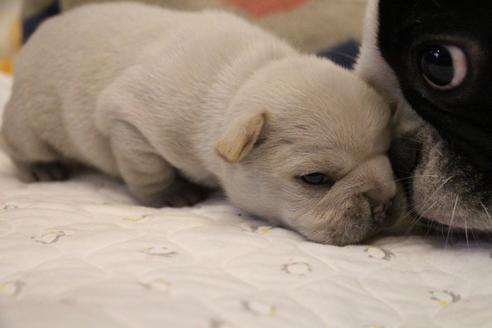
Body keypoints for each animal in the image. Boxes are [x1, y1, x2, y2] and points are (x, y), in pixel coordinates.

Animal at [1, 1, 398, 243]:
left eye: (389, 154)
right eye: (315, 179)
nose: (382, 204)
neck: (247, 78)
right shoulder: (127, 119)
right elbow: (148, 169)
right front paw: (171, 195)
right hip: (29, 123)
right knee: (18, 144)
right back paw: (41, 169)